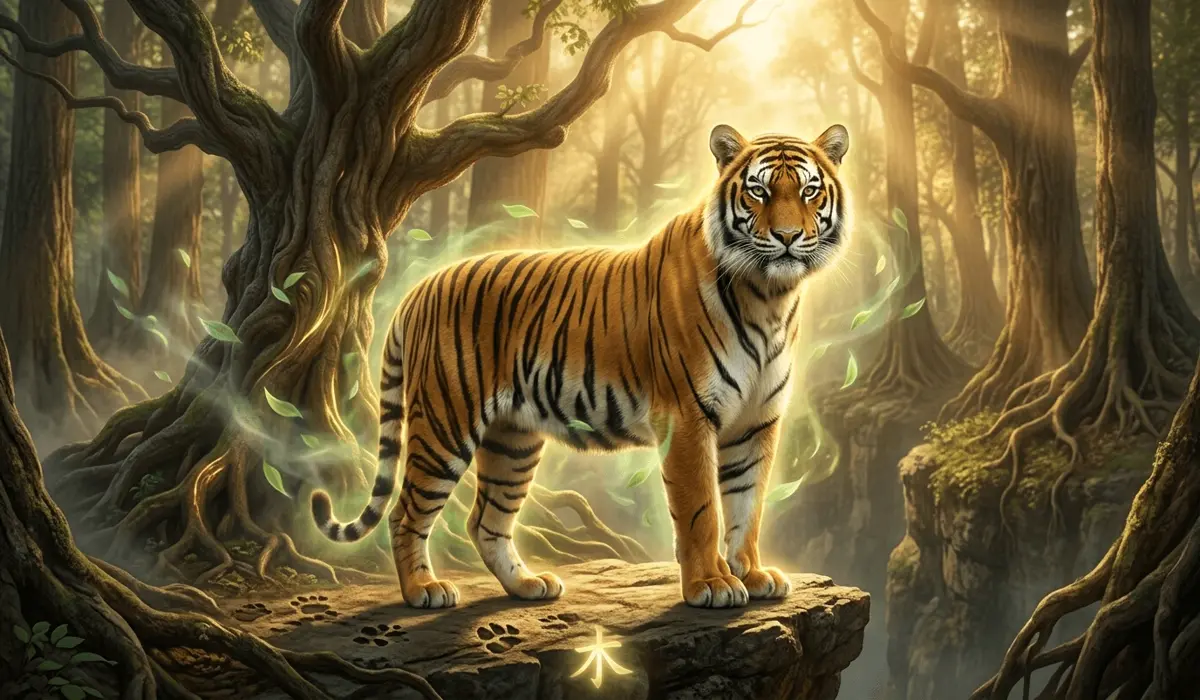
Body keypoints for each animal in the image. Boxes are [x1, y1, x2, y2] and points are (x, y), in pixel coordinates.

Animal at [311, 123, 850, 609]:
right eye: (758, 191)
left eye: (809, 190)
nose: (787, 236)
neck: (769, 296)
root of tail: (420, 288)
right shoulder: (688, 418)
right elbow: (703, 511)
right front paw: (712, 586)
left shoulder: (756, 421)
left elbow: (747, 506)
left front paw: (753, 575)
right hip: (445, 423)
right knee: (406, 513)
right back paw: (424, 590)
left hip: (512, 441)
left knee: (485, 521)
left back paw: (528, 586)